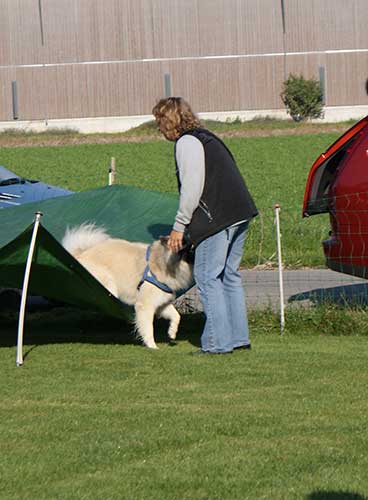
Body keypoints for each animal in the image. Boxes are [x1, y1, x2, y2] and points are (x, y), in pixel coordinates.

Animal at [61, 225, 194, 350]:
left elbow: (176, 316)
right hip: (108, 282)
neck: (160, 263)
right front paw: (152, 345)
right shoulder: (145, 305)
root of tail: (78, 257)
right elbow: (148, 327)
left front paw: (172, 332)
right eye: (187, 246)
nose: (196, 246)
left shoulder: (161, 303)